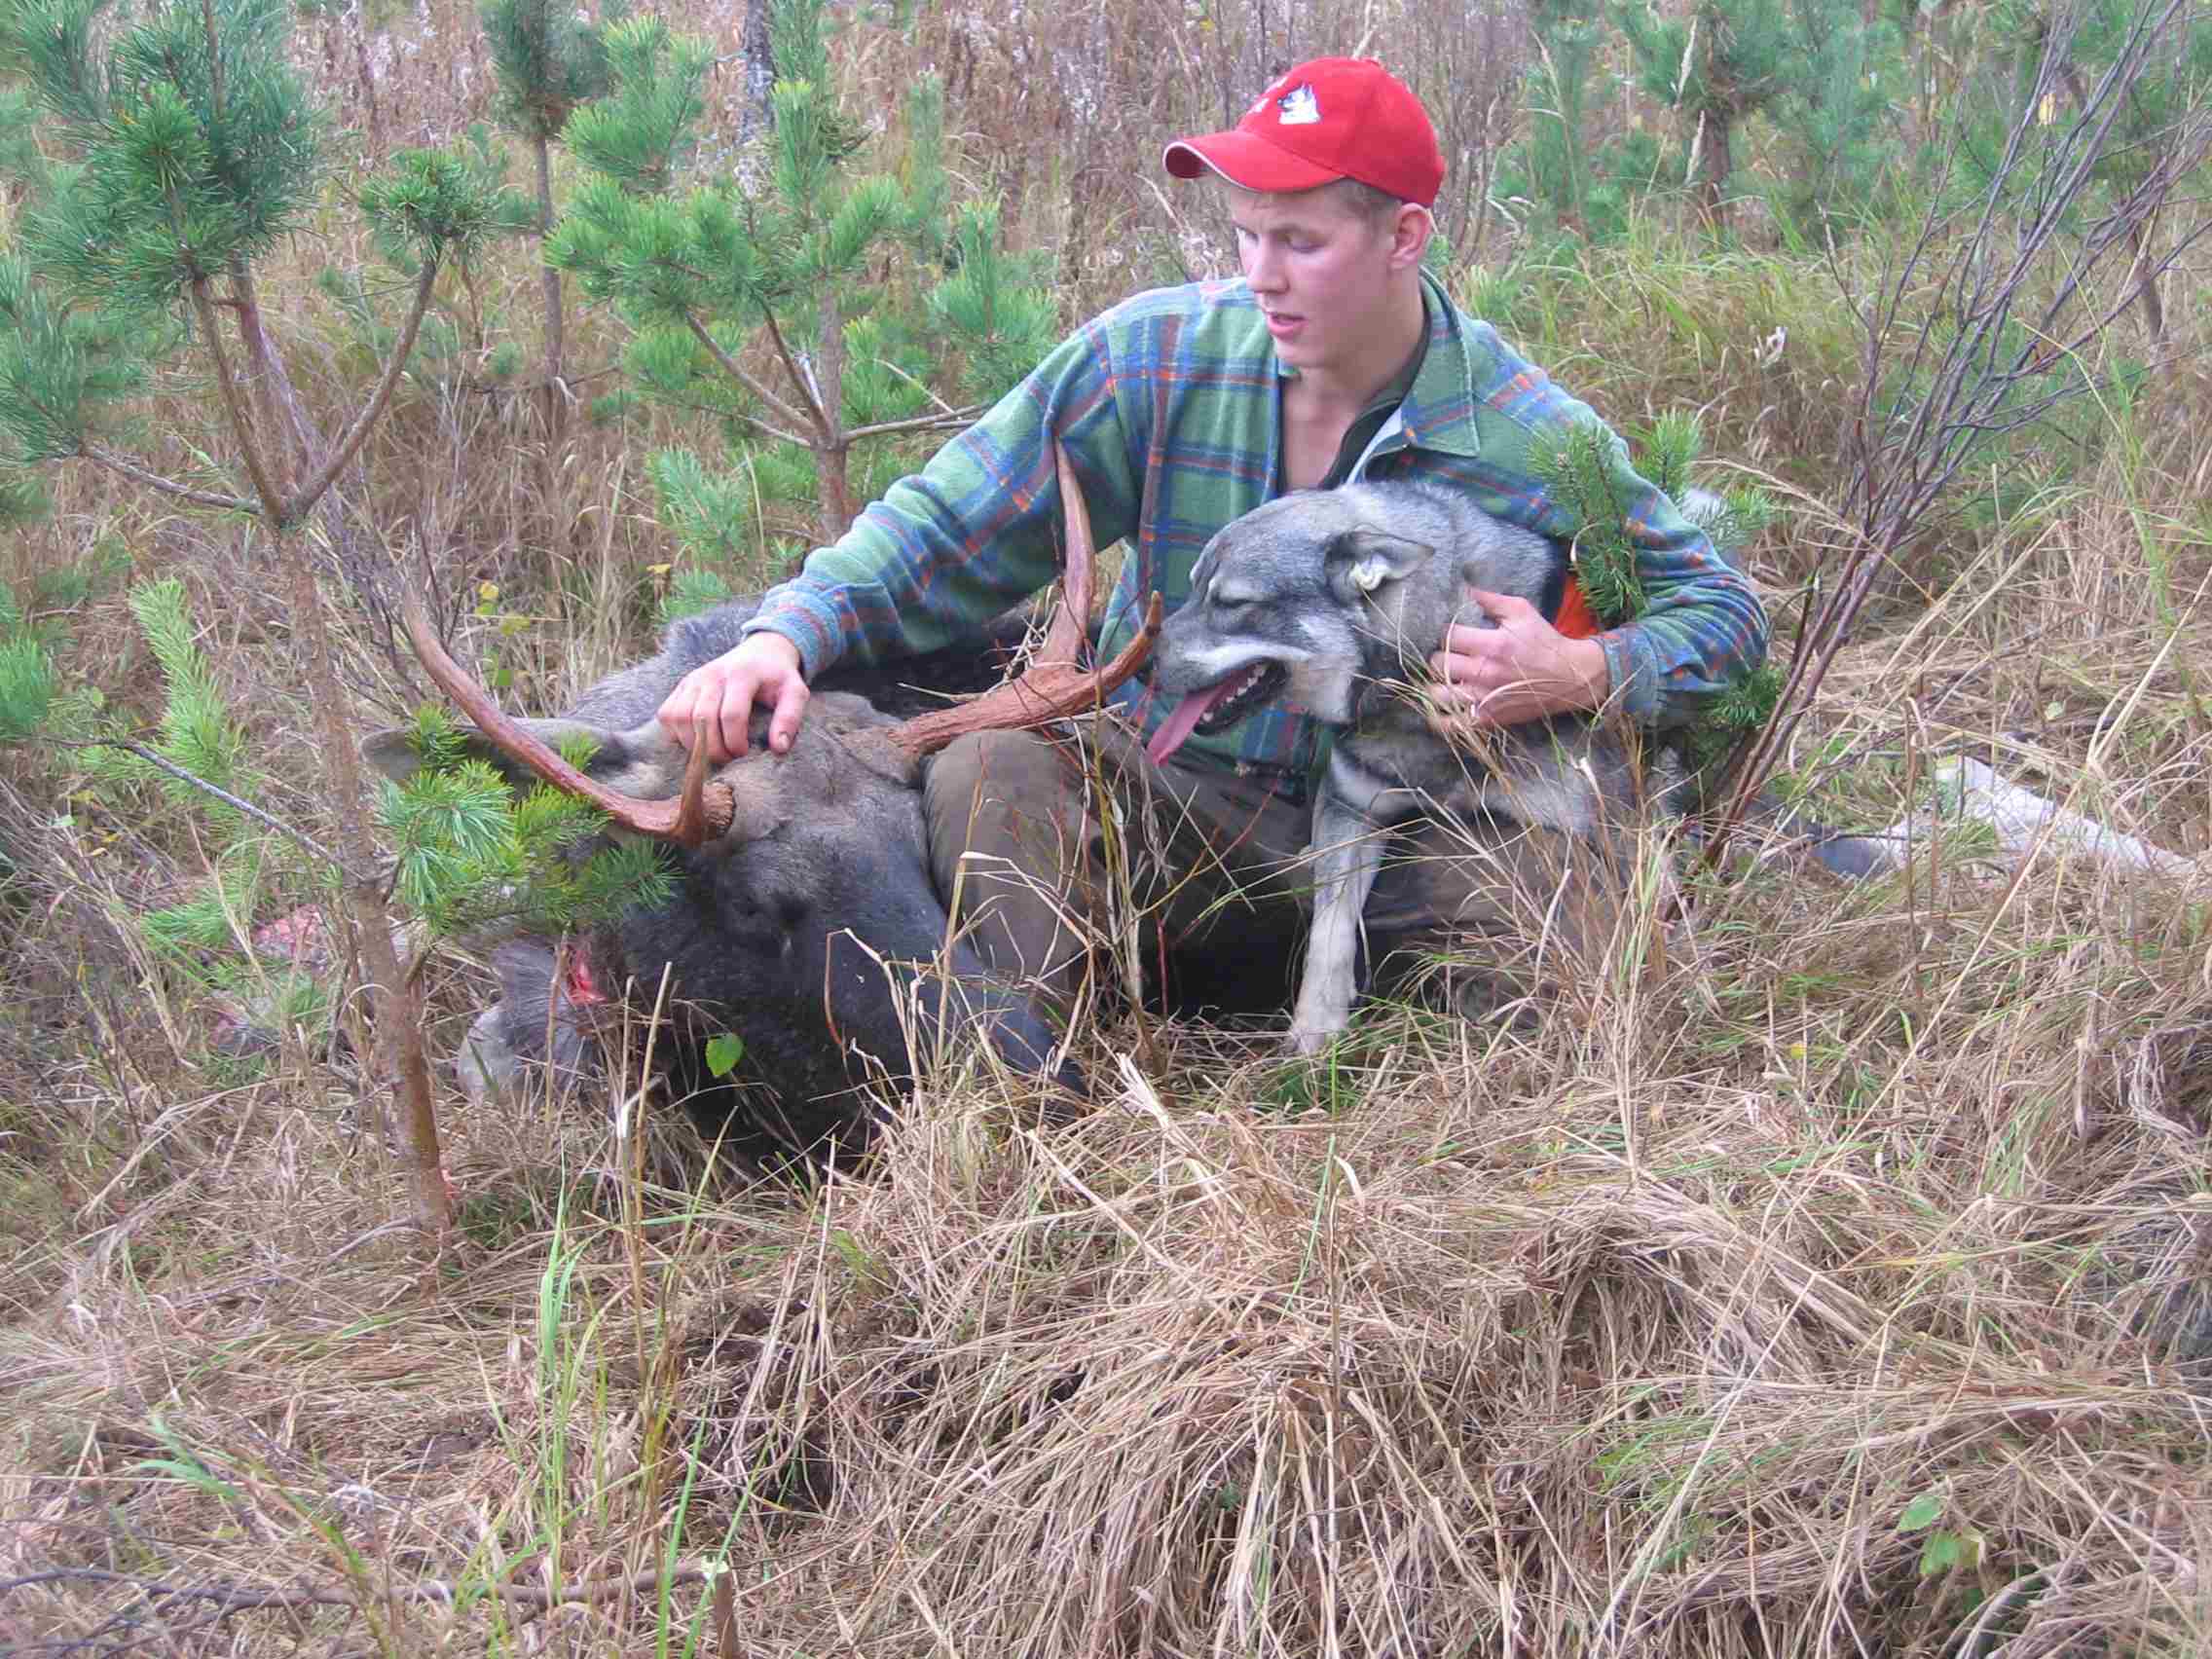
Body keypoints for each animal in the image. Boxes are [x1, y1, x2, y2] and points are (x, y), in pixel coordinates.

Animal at [1145, 481, 1634, 1054]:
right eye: (1194, 589)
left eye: (1231, 603)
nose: (1143, 661)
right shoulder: (1351, 809)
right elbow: (1329, 933)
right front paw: (1314, 1032)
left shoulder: (1611, 834)